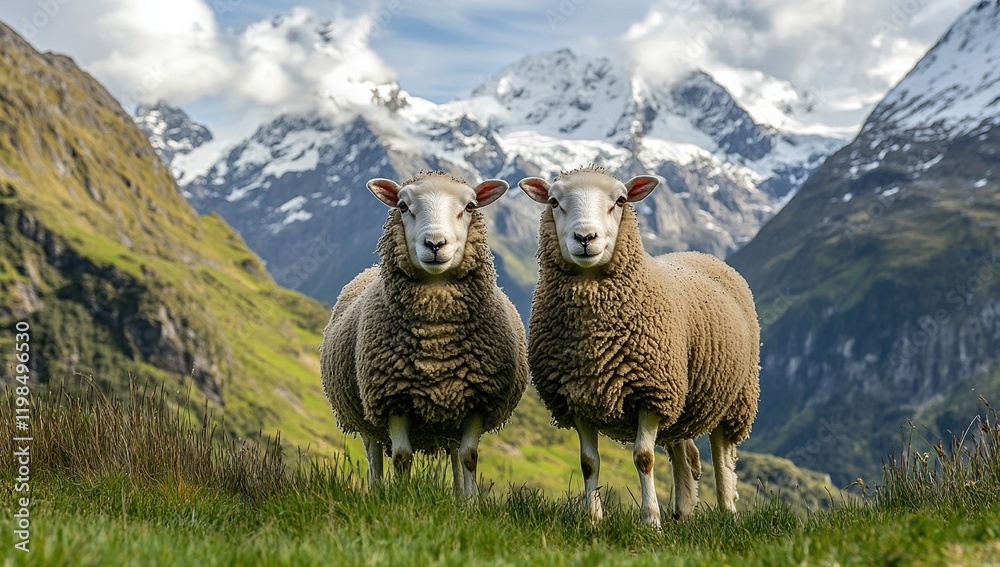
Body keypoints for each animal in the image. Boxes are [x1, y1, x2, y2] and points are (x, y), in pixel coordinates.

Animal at [321, 171, 528, 498]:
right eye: (403, 206)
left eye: (470, 206)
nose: (435, 243)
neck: (437, 339)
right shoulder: (393, 397)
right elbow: (402, 457)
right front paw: (402, 498)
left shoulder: (476, 400)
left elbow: (469, 456)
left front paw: (470, 503)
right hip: (363, 413)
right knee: (374, 453)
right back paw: (376, 492)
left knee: (455, 455)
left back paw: (458, 495)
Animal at [518, 166, 760, 528]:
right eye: (553, 201)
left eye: (620, 200)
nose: (585, 238)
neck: (594, 341)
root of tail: (700, 254)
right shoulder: (577, 397)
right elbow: (588, 462)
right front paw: (593, 520)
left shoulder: (650, 391)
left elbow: (644, 458)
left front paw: (650, 521)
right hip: (680, 395)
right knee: (681, 451)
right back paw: (682, 513)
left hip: (734, 395)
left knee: (721, 456)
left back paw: (727, 511)